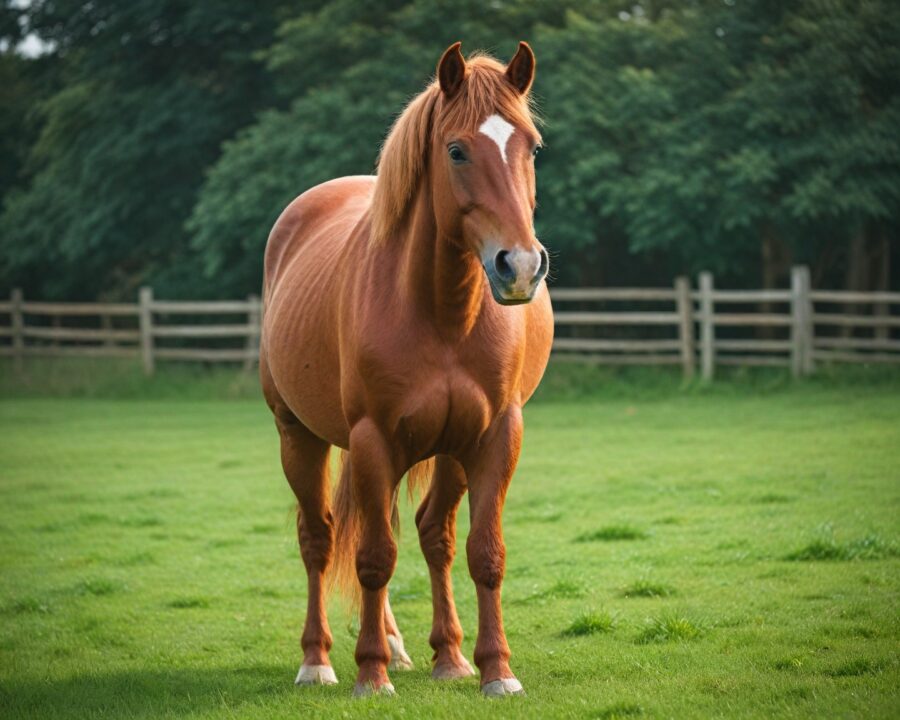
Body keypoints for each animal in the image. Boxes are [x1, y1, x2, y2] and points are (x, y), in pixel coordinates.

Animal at [259, 41, 553, 698]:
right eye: (456, 149)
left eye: (531, 146)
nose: (519, 267)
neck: (441, 313)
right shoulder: (373, 439)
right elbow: (373, 557)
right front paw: (369, 674)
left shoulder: (494, 436)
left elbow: (483, 553)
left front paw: (497, 670)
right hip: (300, 435)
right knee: (320, 540)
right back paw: (320, 660)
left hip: (446, 449)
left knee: (431, 534)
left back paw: (446, 655)